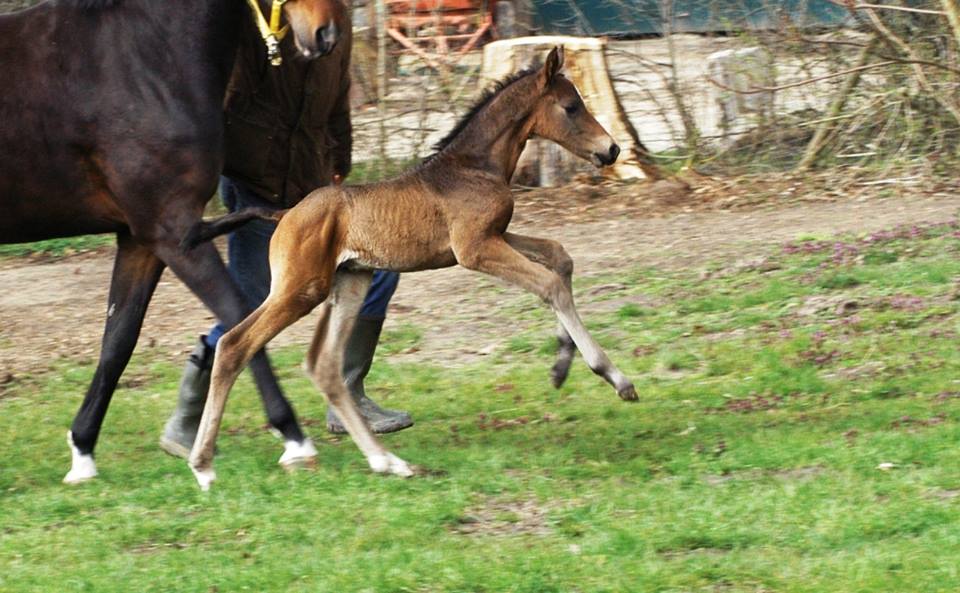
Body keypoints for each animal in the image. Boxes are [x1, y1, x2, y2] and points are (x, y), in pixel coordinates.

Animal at [0, 0, 344, 480]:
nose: (325, 34)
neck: (147, 54)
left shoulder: (140, 241)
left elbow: (118, 340)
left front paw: (82, 451)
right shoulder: (174, 233)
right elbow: (237, 316)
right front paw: (294, 437)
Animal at [188, 47, 636, 490]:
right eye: (571, 107)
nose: (612, 150)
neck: (474, 165)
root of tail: (284, 214)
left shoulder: (494, 235)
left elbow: (560, 257)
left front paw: (560, 368)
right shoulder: (474, 248)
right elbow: (549, 284)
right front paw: (615, 378)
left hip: (350, 282)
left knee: (325, 366)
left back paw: (388, 462)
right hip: (300, 289)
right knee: (235, 344)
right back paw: (203, 464)